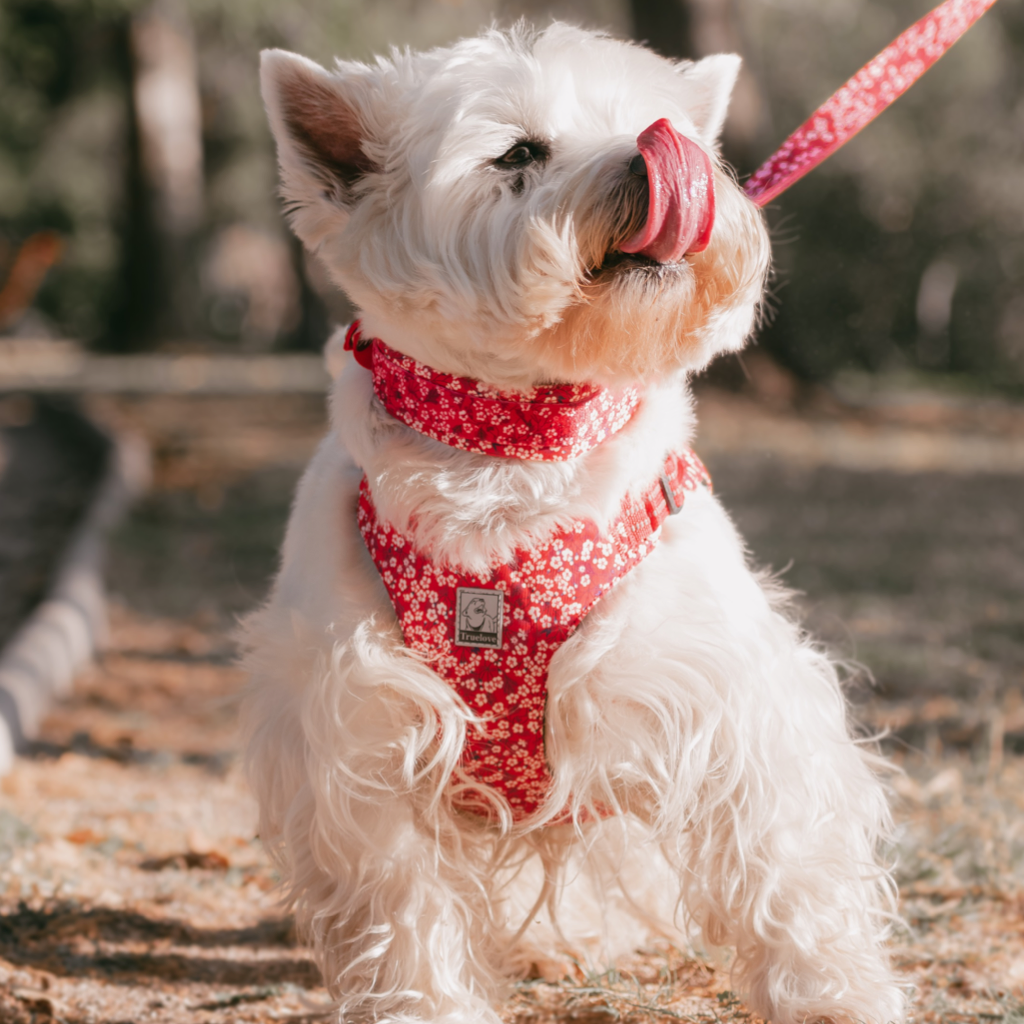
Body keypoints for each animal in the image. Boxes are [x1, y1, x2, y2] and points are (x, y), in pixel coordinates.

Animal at [241, 24, 905, 1024]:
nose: (656, 152)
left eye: (657, 121)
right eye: (518, 153)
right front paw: (426, 1003)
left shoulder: (728, 694)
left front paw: (833, 997)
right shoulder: (361, 726)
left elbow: (785, 865)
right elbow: (403, 901)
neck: (514, 451)